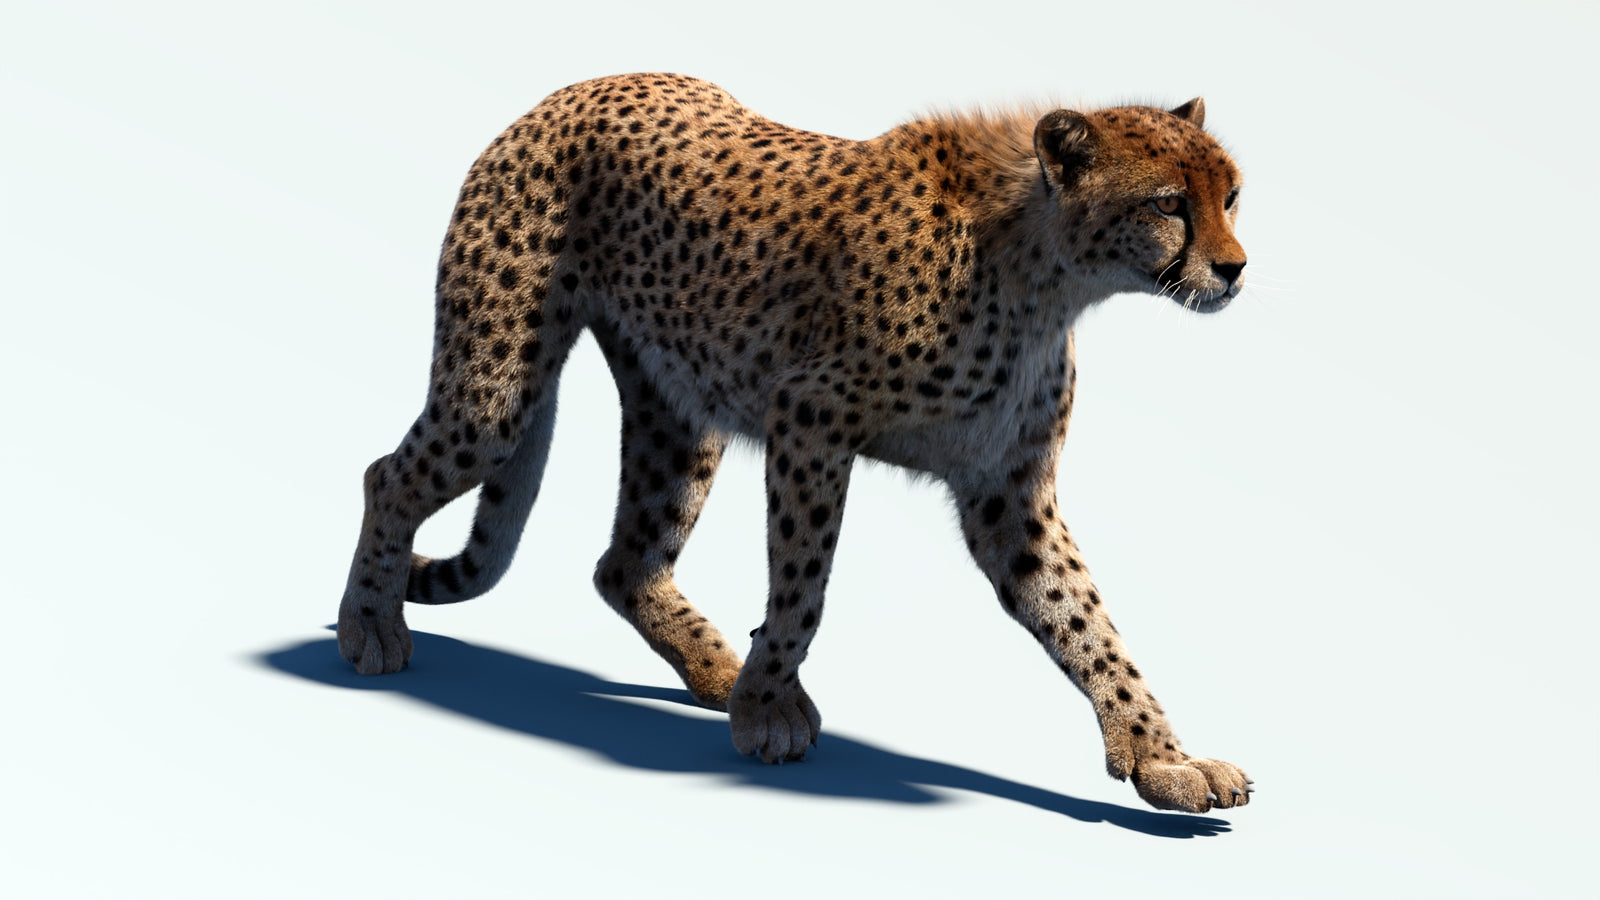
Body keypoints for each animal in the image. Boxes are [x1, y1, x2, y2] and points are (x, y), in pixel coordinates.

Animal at [337, 73, 1253, 813]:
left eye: (1232, 195)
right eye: (1168, 202)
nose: (1235, 267)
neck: (1047, 274)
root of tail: (575, 89)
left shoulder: (1009, 497)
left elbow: (1086, 620)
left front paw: (1161, 756)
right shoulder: (810, 419)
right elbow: (804, 584)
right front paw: (771, 706)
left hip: (681, 412)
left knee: (624, 562)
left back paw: (713, 667)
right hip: (496, 394)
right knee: (388, 475)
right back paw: (368, 627)